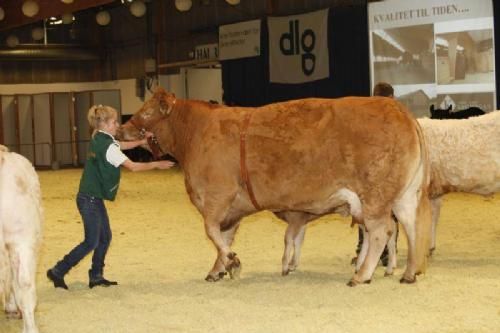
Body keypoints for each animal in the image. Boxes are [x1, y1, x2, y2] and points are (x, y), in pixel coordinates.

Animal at [120, 89, 430, 286]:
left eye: (146, 112)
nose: (122, 129)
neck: (195, 134)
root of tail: (399, 110)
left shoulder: (218, 195)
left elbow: (211, 231)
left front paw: (232, 262)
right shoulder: (230, 208)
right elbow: (223, 237)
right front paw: (219, 268)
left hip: (375, 196)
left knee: (381, 231)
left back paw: (361, 275)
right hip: (403, 195)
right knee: (411, 227)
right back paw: (409, 273)